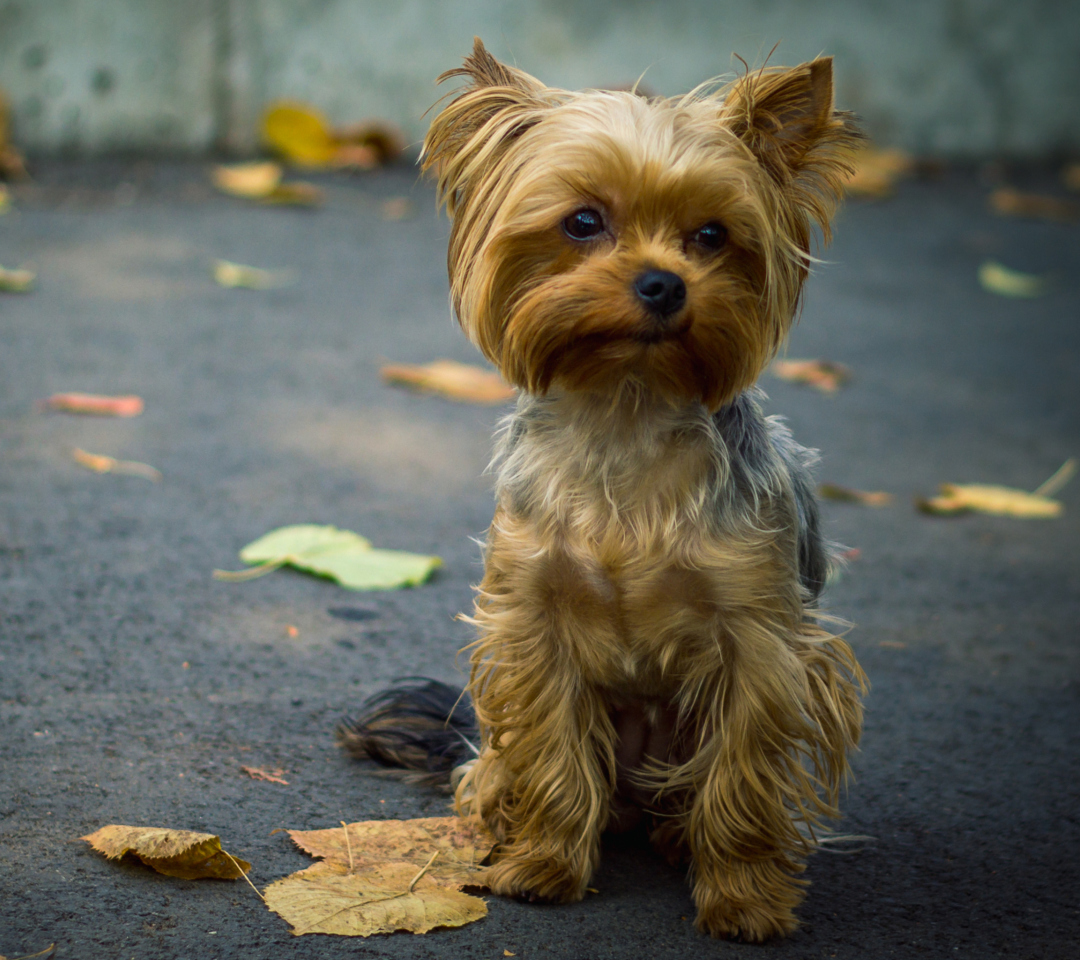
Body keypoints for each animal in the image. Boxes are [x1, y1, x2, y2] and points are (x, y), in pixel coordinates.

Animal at [345, 41, 868, 941]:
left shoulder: (762, 642)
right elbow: (552, 755)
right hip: (501, 739)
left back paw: (677, 837)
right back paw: (500, 826)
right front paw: (543, 868)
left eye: (711, 235)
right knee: (500, 767)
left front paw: (745, 899)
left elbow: (743, 776)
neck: (626, 411)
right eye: (583, 222)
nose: (664, 284)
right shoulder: (533, 625)